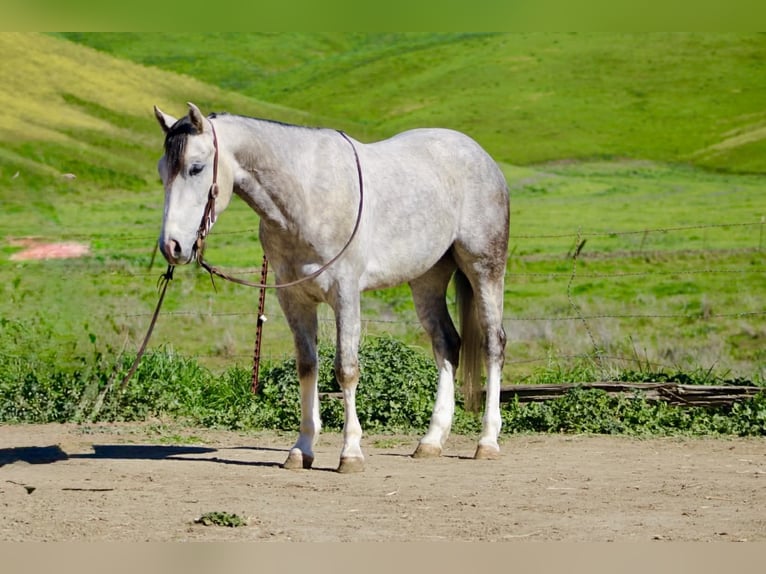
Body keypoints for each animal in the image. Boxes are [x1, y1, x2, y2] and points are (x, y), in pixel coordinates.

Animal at [153, 102, 509, 473]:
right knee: (446, 344)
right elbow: (308, 367)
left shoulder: (345, 294)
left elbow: (346, 370)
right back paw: (431, 441)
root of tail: (480, 155)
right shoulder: (293, 298)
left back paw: (487, 441)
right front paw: (302, 449)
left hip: (485, 269)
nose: (171, 246)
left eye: (196, 168)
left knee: (493, 344)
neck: (307, 196)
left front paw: (350, 452)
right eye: (162, 170)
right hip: (428, 278)